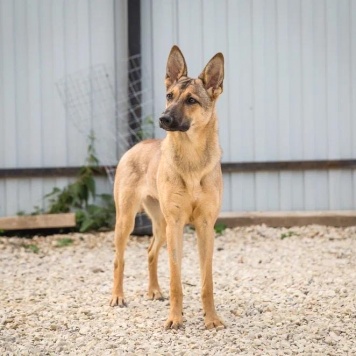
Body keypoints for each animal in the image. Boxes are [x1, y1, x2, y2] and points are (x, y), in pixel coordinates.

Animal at [110, 46, 224, 330]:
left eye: (191, 100)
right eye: (169, 96)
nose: (164, 118)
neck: (192, 159)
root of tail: (136, 146)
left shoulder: (205, 226)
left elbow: (207, 282)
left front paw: (211, 319)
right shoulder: (177, 224)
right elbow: (176, 280)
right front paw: (175, 318)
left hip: (161, 224)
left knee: (151, 253)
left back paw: (154, 291)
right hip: (127, 220)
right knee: (119, 259)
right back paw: (117, 296)